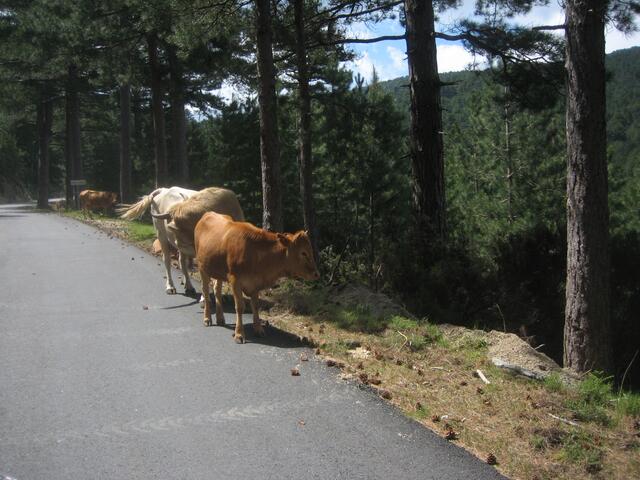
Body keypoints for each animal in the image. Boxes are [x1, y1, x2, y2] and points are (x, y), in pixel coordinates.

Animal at [194, 211, 319, 344]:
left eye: (310, 251)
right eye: (303, 253)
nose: (317, 274)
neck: (255, 253)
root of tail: (208, 213)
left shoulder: (255, 283)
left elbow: (255, 305)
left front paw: (258, 329)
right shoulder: (235, 280)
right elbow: (240, 307)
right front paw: (239, 334)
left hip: (217, 272)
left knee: (217, 291)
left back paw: (220, 318)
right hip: (202, 269)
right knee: (206, 292)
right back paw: (207, 318)